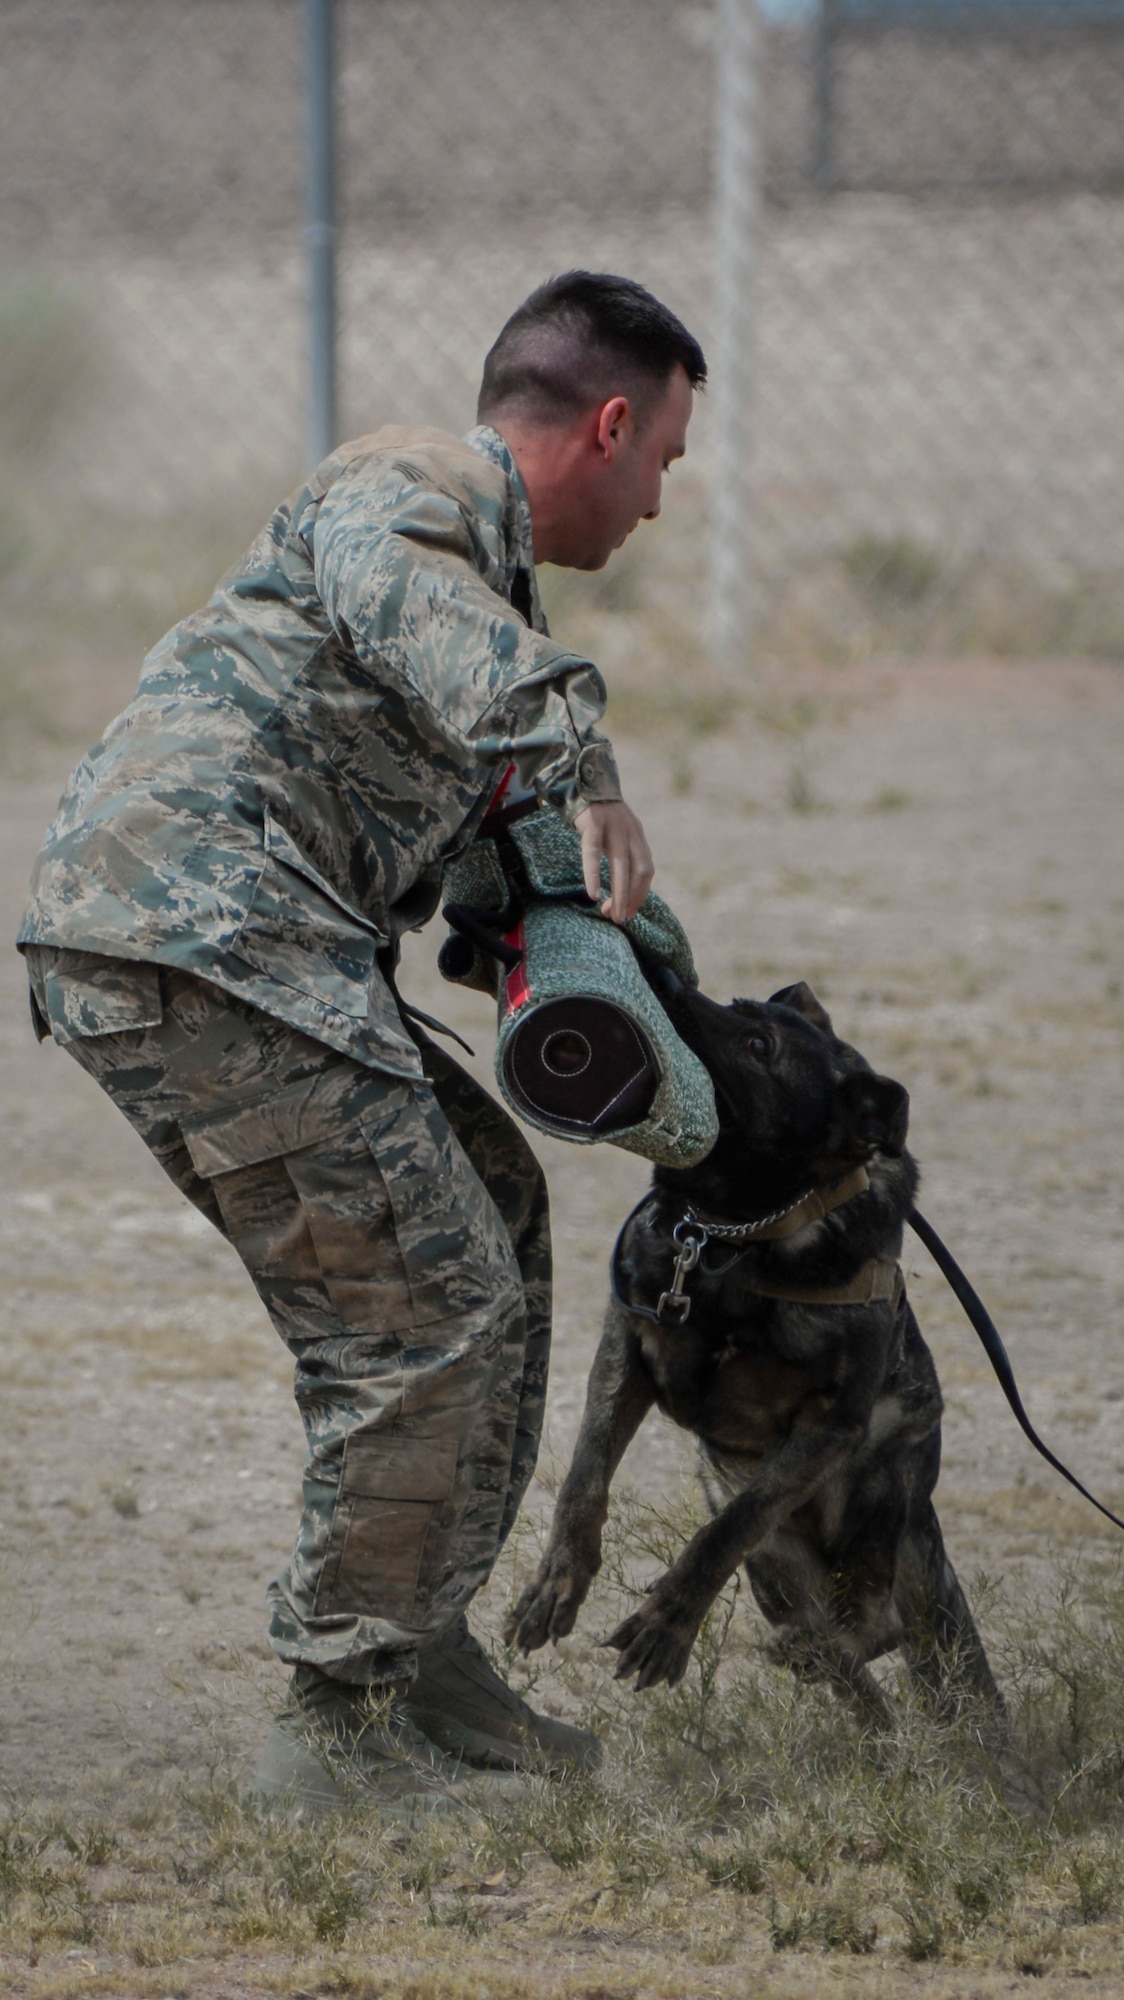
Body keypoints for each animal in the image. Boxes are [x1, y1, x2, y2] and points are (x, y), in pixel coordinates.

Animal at [504, 976, 1000, 1728]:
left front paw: (667, 1622)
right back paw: (827, 1670)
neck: (734, 1236)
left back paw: (817, 1646)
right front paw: (557, 1581)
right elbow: (584, 1479)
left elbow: (722, 1533)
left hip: (882, 1483)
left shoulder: (831, 1426)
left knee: (877, 1621)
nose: (668, 983)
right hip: (773, 1559)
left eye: (759, 1046)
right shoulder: (625, 1353)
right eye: (734, 1006)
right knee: (853, 1667)